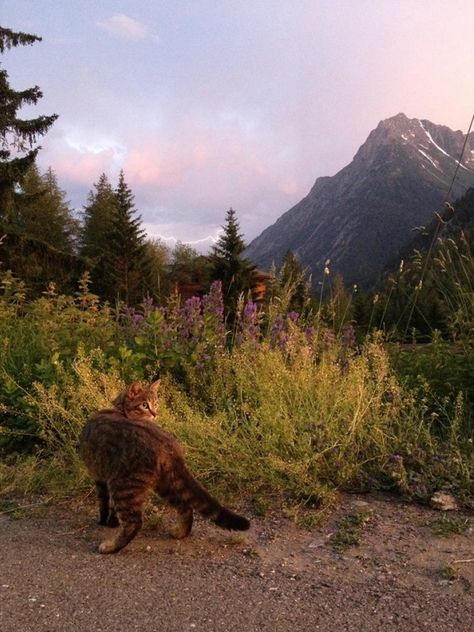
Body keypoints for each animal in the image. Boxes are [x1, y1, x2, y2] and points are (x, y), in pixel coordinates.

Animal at [79, 380, 250, 552]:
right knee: (185, 506)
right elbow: (111, 508)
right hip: (165, 483)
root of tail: (167, 443)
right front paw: (112, 523)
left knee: (135, 522)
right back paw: (180, 533)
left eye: (156, 403)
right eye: (144, 405)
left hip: (124, 486)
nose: (155, 413)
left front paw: (104, 522)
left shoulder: (100, 478)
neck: (118, 409)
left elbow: (104, 503)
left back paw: (110, 547)